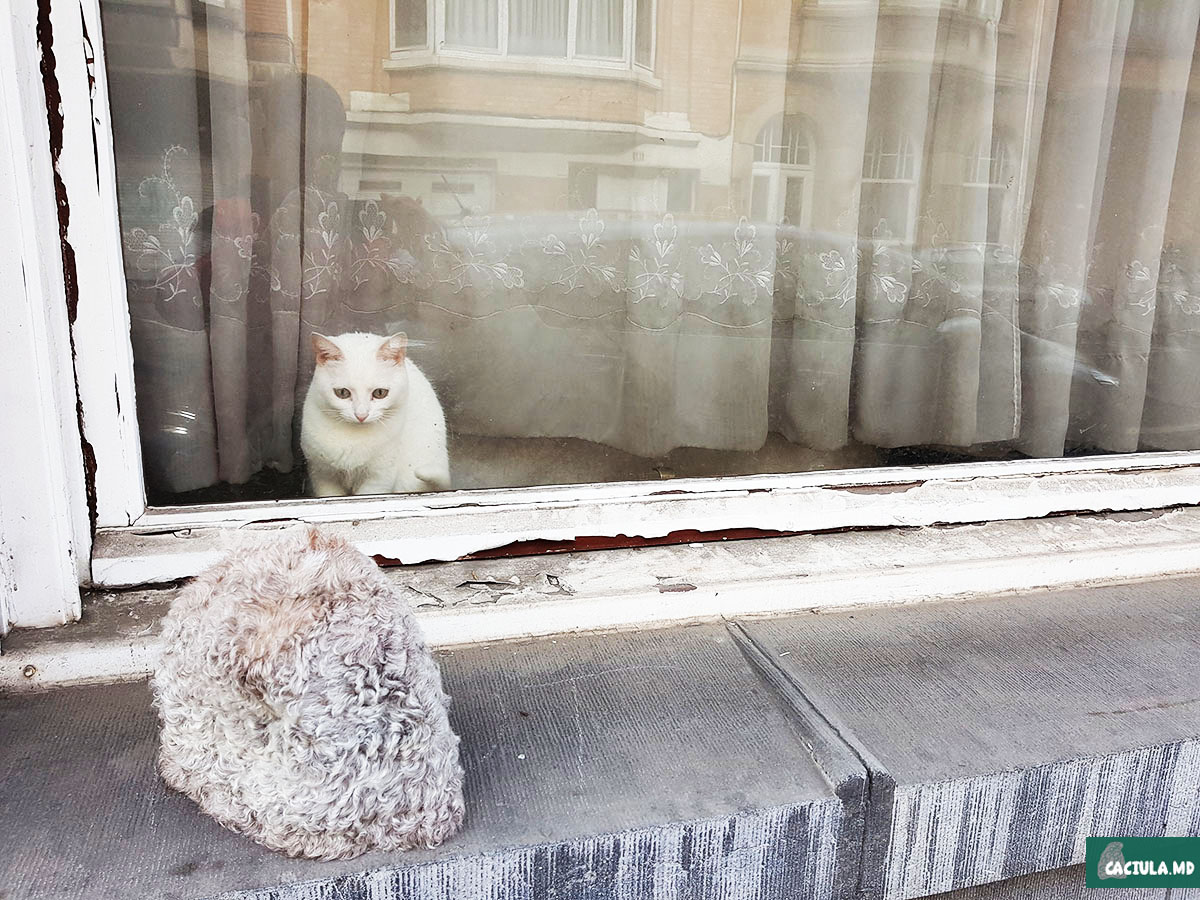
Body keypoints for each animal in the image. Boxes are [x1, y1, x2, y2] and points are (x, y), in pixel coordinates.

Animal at [300, 336, 451, 496]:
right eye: (342, 392)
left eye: (379, 393)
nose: (361, 415)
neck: (354, 439)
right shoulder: (322, 475)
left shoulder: (379, 478)